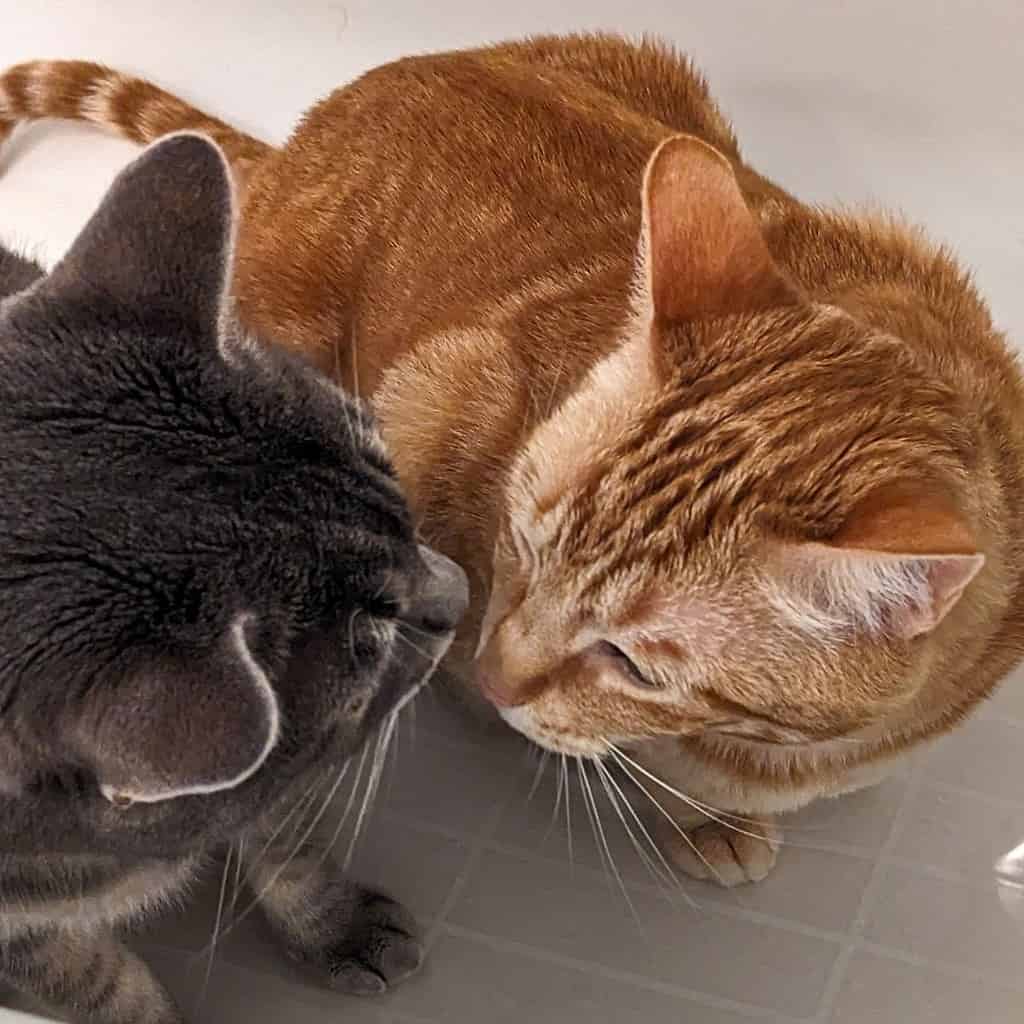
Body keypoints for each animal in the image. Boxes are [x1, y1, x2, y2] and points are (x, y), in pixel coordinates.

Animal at [0, 136, 468, 1024]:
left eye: (390, 469)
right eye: (370, 641)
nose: (462, 597)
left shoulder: (275, 778)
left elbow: (288, 841)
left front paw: (339, 926)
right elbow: (95, 981)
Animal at [4, 36, 1019, 884]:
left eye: (634, 664)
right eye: (521, 545)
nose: (493, 675)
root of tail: (305, 136)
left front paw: (716, 814)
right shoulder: (439, 401)